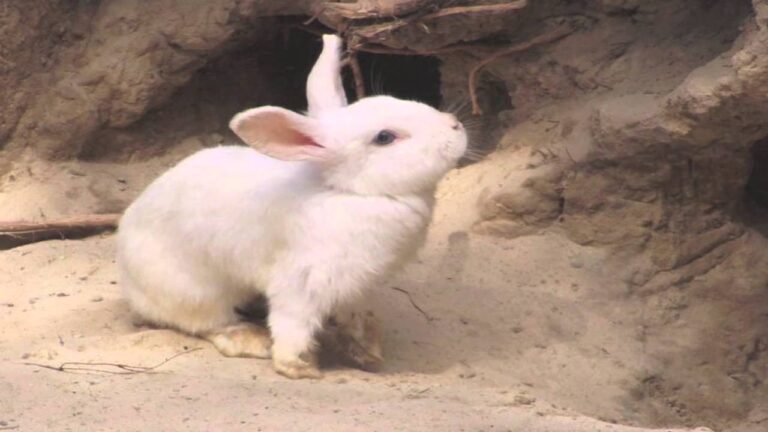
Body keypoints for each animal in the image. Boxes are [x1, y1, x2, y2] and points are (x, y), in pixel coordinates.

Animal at [116, 34, 467, 379]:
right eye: (384, 137)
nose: (455, 125)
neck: (349, 192)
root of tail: (128, 279)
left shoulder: (355, 287)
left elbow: (352, 316)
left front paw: (367, 351)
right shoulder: (302, 281)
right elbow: (292, 322)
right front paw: (299, 366)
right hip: (194, 292)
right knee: (207, 323)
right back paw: (252, 340)